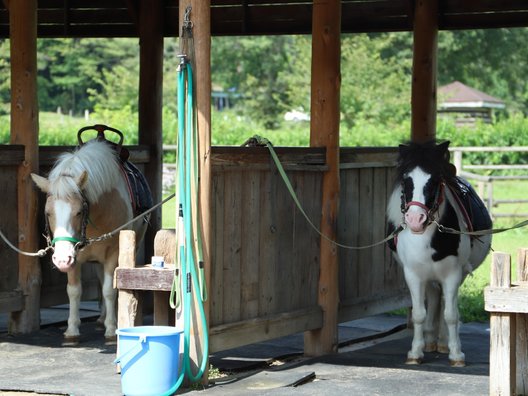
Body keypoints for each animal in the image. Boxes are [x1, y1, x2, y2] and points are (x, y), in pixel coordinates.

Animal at [31, 137, 151, 344]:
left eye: (79, 212)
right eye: (48, 213)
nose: (61, 259)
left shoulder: (113, 253)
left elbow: (110, 290)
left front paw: (111, 330)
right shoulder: (75, 256)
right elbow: (74, 290)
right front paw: (72, 330)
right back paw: (101, 318)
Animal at [386, 141, 492, 366]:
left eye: (434, 180)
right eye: (406, 180)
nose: (415, 220)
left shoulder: (452, 274)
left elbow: (451, 314)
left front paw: (456, 354)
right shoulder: (414, 275)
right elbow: (419, 314)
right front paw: (415, 352)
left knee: (444, 303)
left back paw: (443, 343)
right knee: (435, 298)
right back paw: (430, 341)